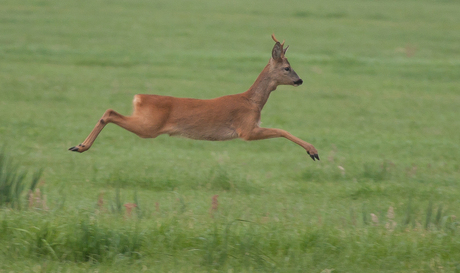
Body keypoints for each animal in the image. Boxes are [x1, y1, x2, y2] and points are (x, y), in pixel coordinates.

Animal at [69, 34, 320, 160]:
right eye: (287, 68)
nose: (300, 80)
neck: (252, 101)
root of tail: (139, 97)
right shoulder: (246, 130)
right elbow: (281, 130)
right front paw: (313, 151)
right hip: (148, 126)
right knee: (110, 112)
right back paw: (80, 146)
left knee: (109, 111)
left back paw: (78, 146)